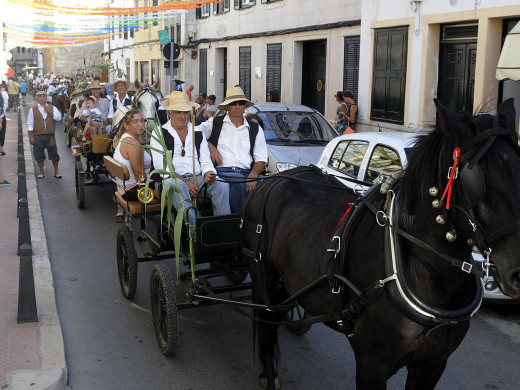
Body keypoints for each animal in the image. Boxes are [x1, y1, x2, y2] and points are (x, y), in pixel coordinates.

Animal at [242, 99, 520, 388]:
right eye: (476, 179)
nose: (517, 273)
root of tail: (268, 182)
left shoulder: (433, 363)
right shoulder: (371, 364)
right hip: (264, 280)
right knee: (266, 325)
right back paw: (269, 375)